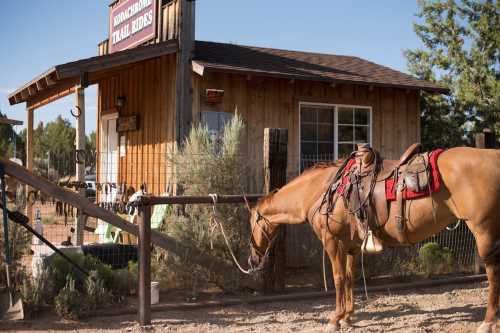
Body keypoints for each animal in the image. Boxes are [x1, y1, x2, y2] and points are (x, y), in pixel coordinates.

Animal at [249, 147, 500, 332]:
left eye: (251, 224)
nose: (252, 260)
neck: (320, 190)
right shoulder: (351, 245)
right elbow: (350, 278)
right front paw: (348, 317)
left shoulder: (332, 241)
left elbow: (338, 278)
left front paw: (335, 319)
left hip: (484, 230)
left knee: (492, 272)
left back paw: (487, 322)